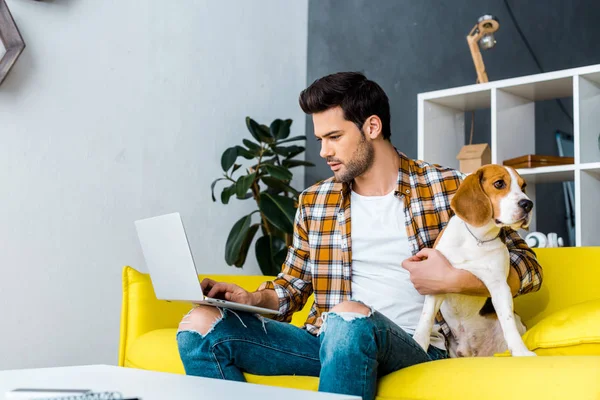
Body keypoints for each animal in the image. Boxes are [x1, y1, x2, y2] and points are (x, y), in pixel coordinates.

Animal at [412, 164, 536, 358]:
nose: (528, 204)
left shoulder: (499, 286)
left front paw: (521, 351)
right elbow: (425, 322)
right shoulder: (434, 283)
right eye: (499, 183)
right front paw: (418, 345)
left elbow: (508, 322)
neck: (477, 237)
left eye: (523, 187)